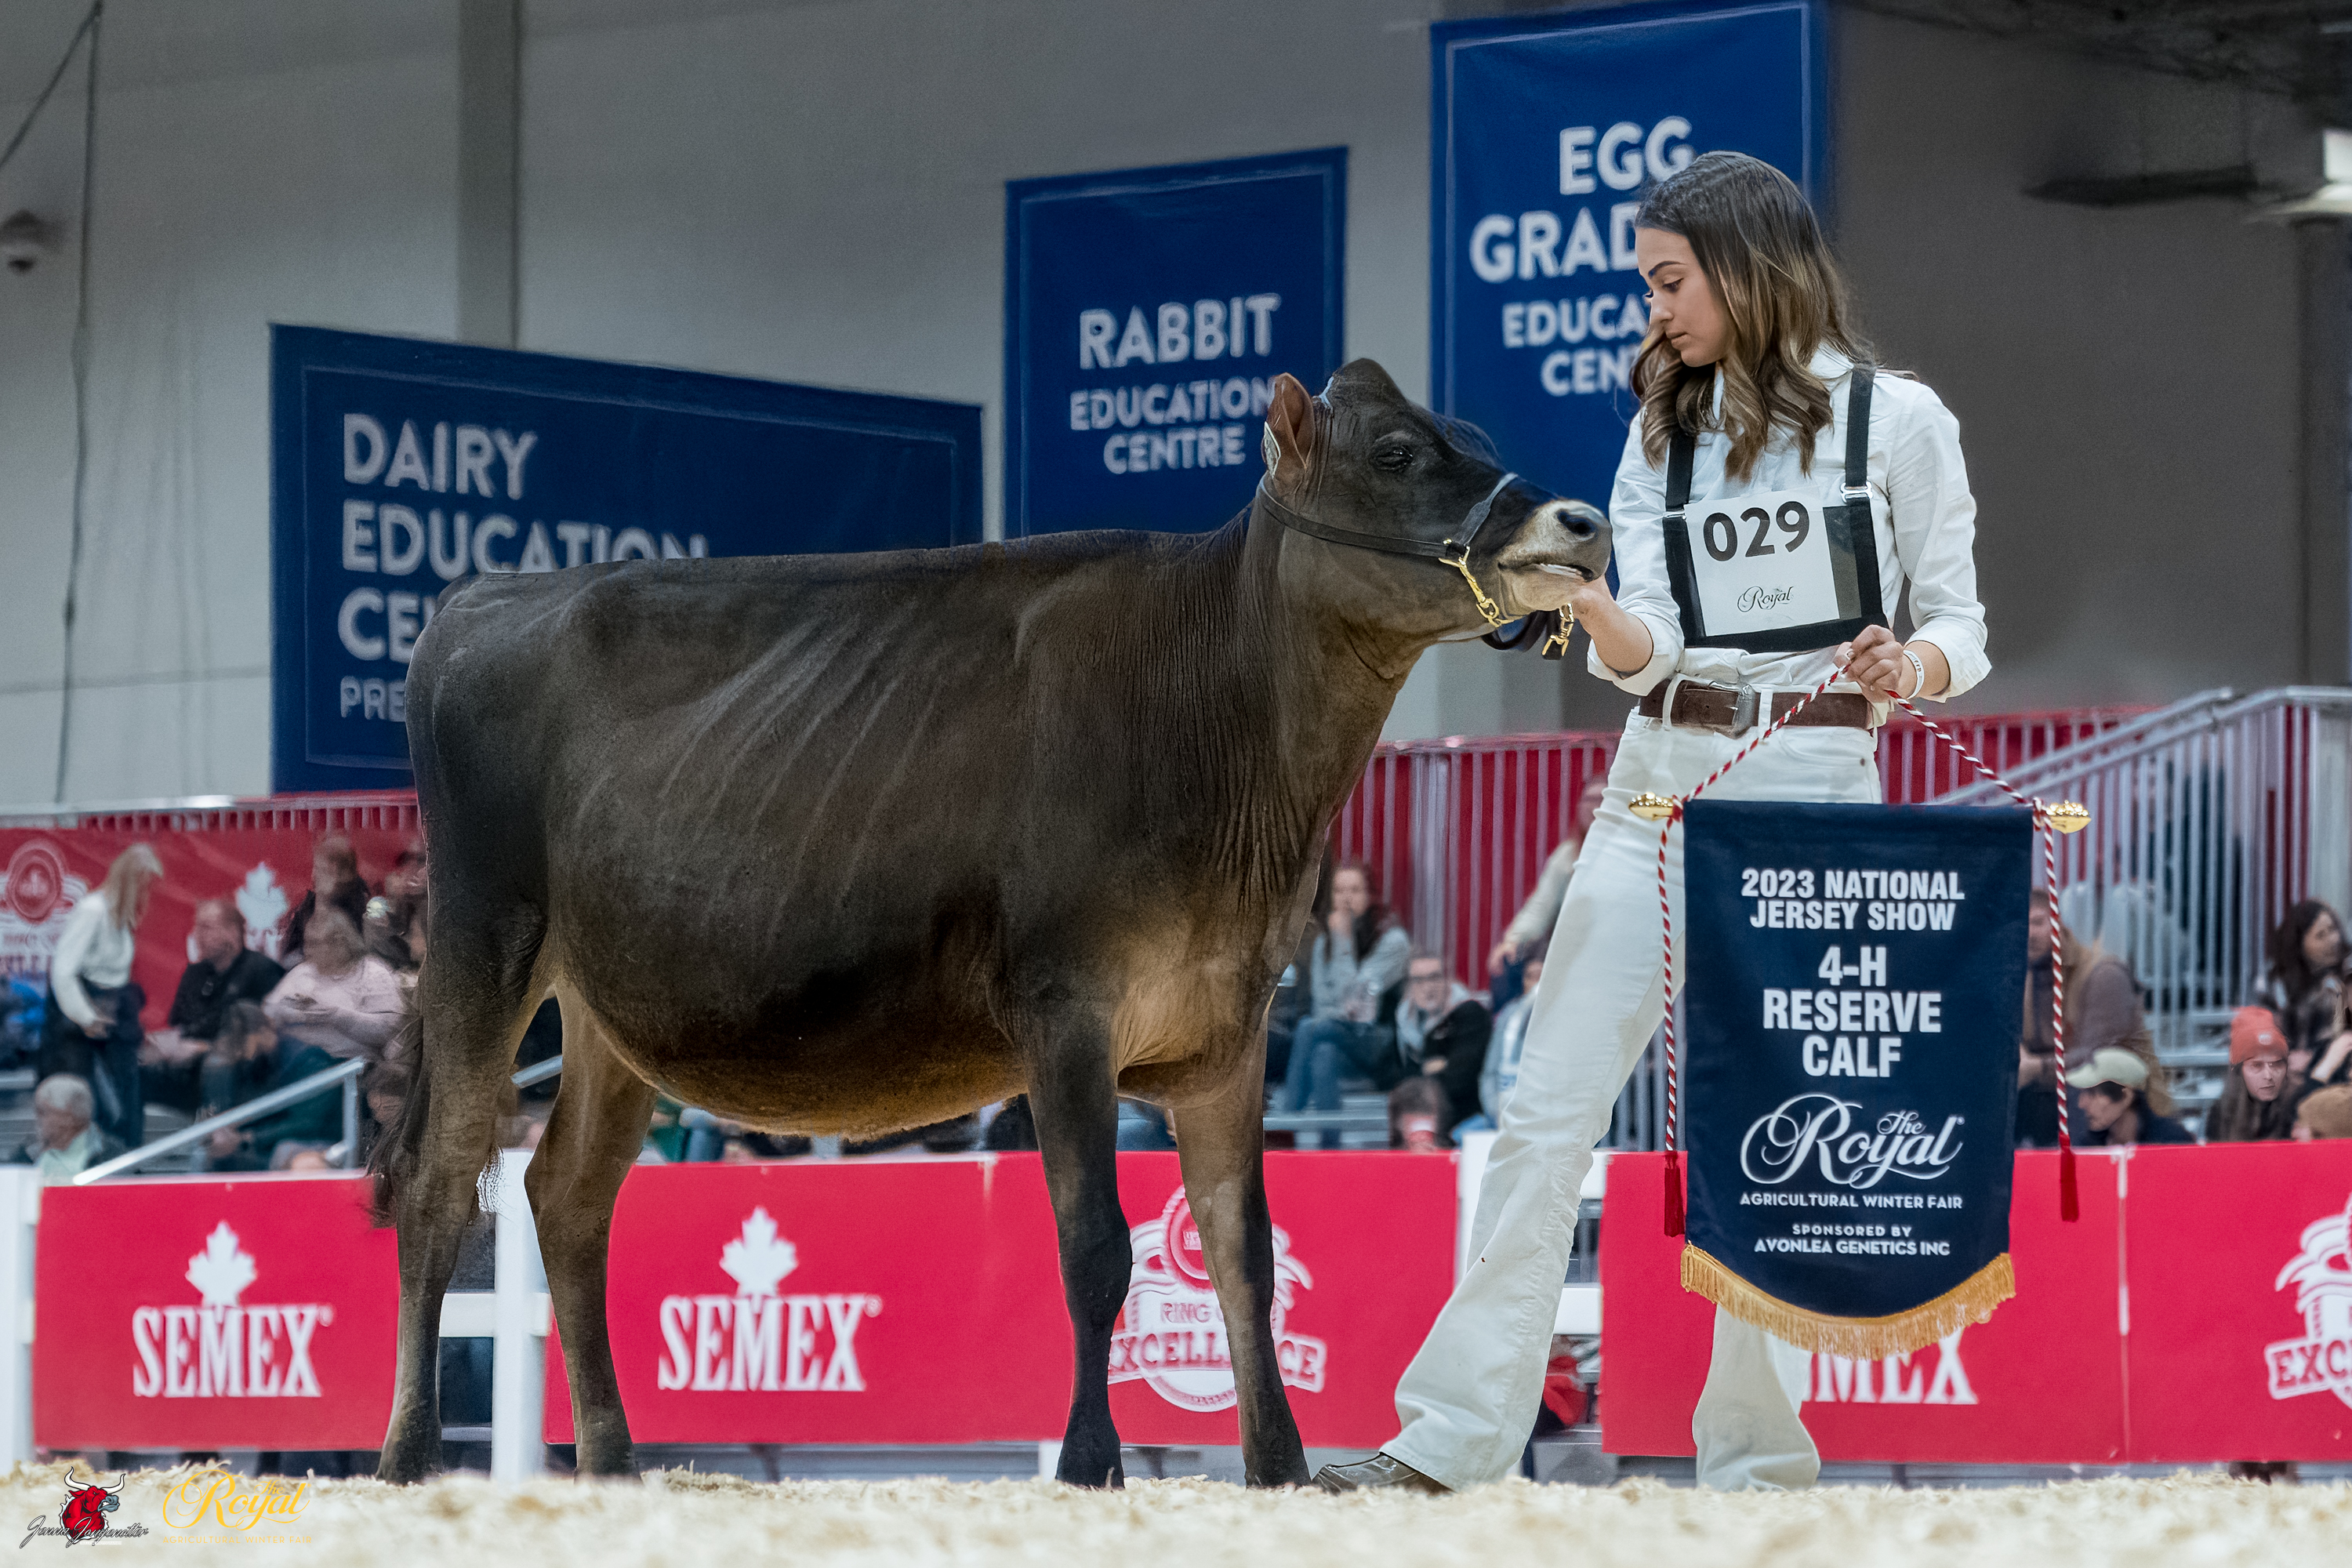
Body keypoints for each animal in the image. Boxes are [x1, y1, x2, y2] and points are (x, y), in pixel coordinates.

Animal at [370, 360, 1610, 1489]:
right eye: (1395, 453)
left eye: (1472, 435)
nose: (1583, 520)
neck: (1225, 732)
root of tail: (481, 597)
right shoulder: (1066, 1009)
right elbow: (1096, 1247)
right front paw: (1090, 1461)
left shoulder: (1228, 1024)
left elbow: (1243, 1250)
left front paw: (1281, 1469)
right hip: (483, 938)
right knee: (441, 1185)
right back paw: (408, 1456)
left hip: (611, 1007)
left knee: (566, 1196)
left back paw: (613, 1464)